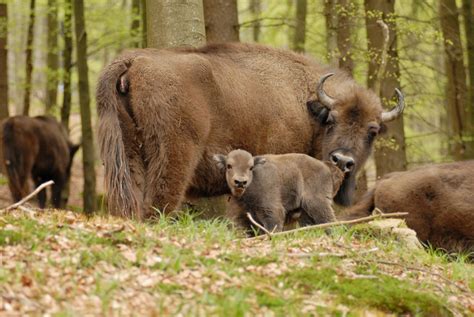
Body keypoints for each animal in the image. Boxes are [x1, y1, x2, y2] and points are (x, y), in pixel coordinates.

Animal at [97, 42, 404, 218]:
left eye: (372, 131)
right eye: (332, 120)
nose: (342, 160)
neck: (305, 105)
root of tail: (133, 61)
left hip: (127, 153)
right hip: (173, 155)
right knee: (159, 202)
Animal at [215, 149, 344, 235]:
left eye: (250, 167)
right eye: (229, 166)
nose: (240, 182)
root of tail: (325, 166)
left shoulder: (272, 211)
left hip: (317, 203)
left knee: (329, 220)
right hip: (305, 211)